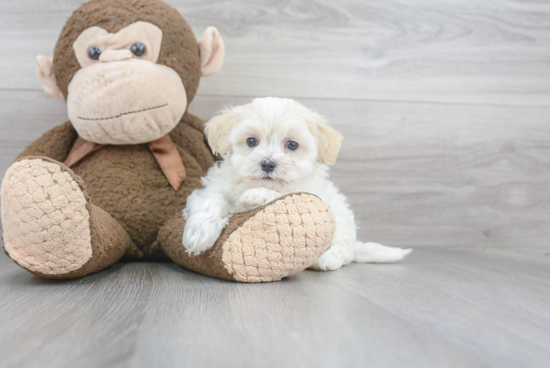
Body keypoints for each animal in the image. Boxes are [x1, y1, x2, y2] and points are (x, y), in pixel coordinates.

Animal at [183, 98, 412, 270]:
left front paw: (255, 196)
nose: (268, 163)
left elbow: (284, 193)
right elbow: (211, 198)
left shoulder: (307, 193)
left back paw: (326, 258)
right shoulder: (216, 185)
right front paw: (198, 234)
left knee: (342, 252)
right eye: (251, 141)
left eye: (292, 145)